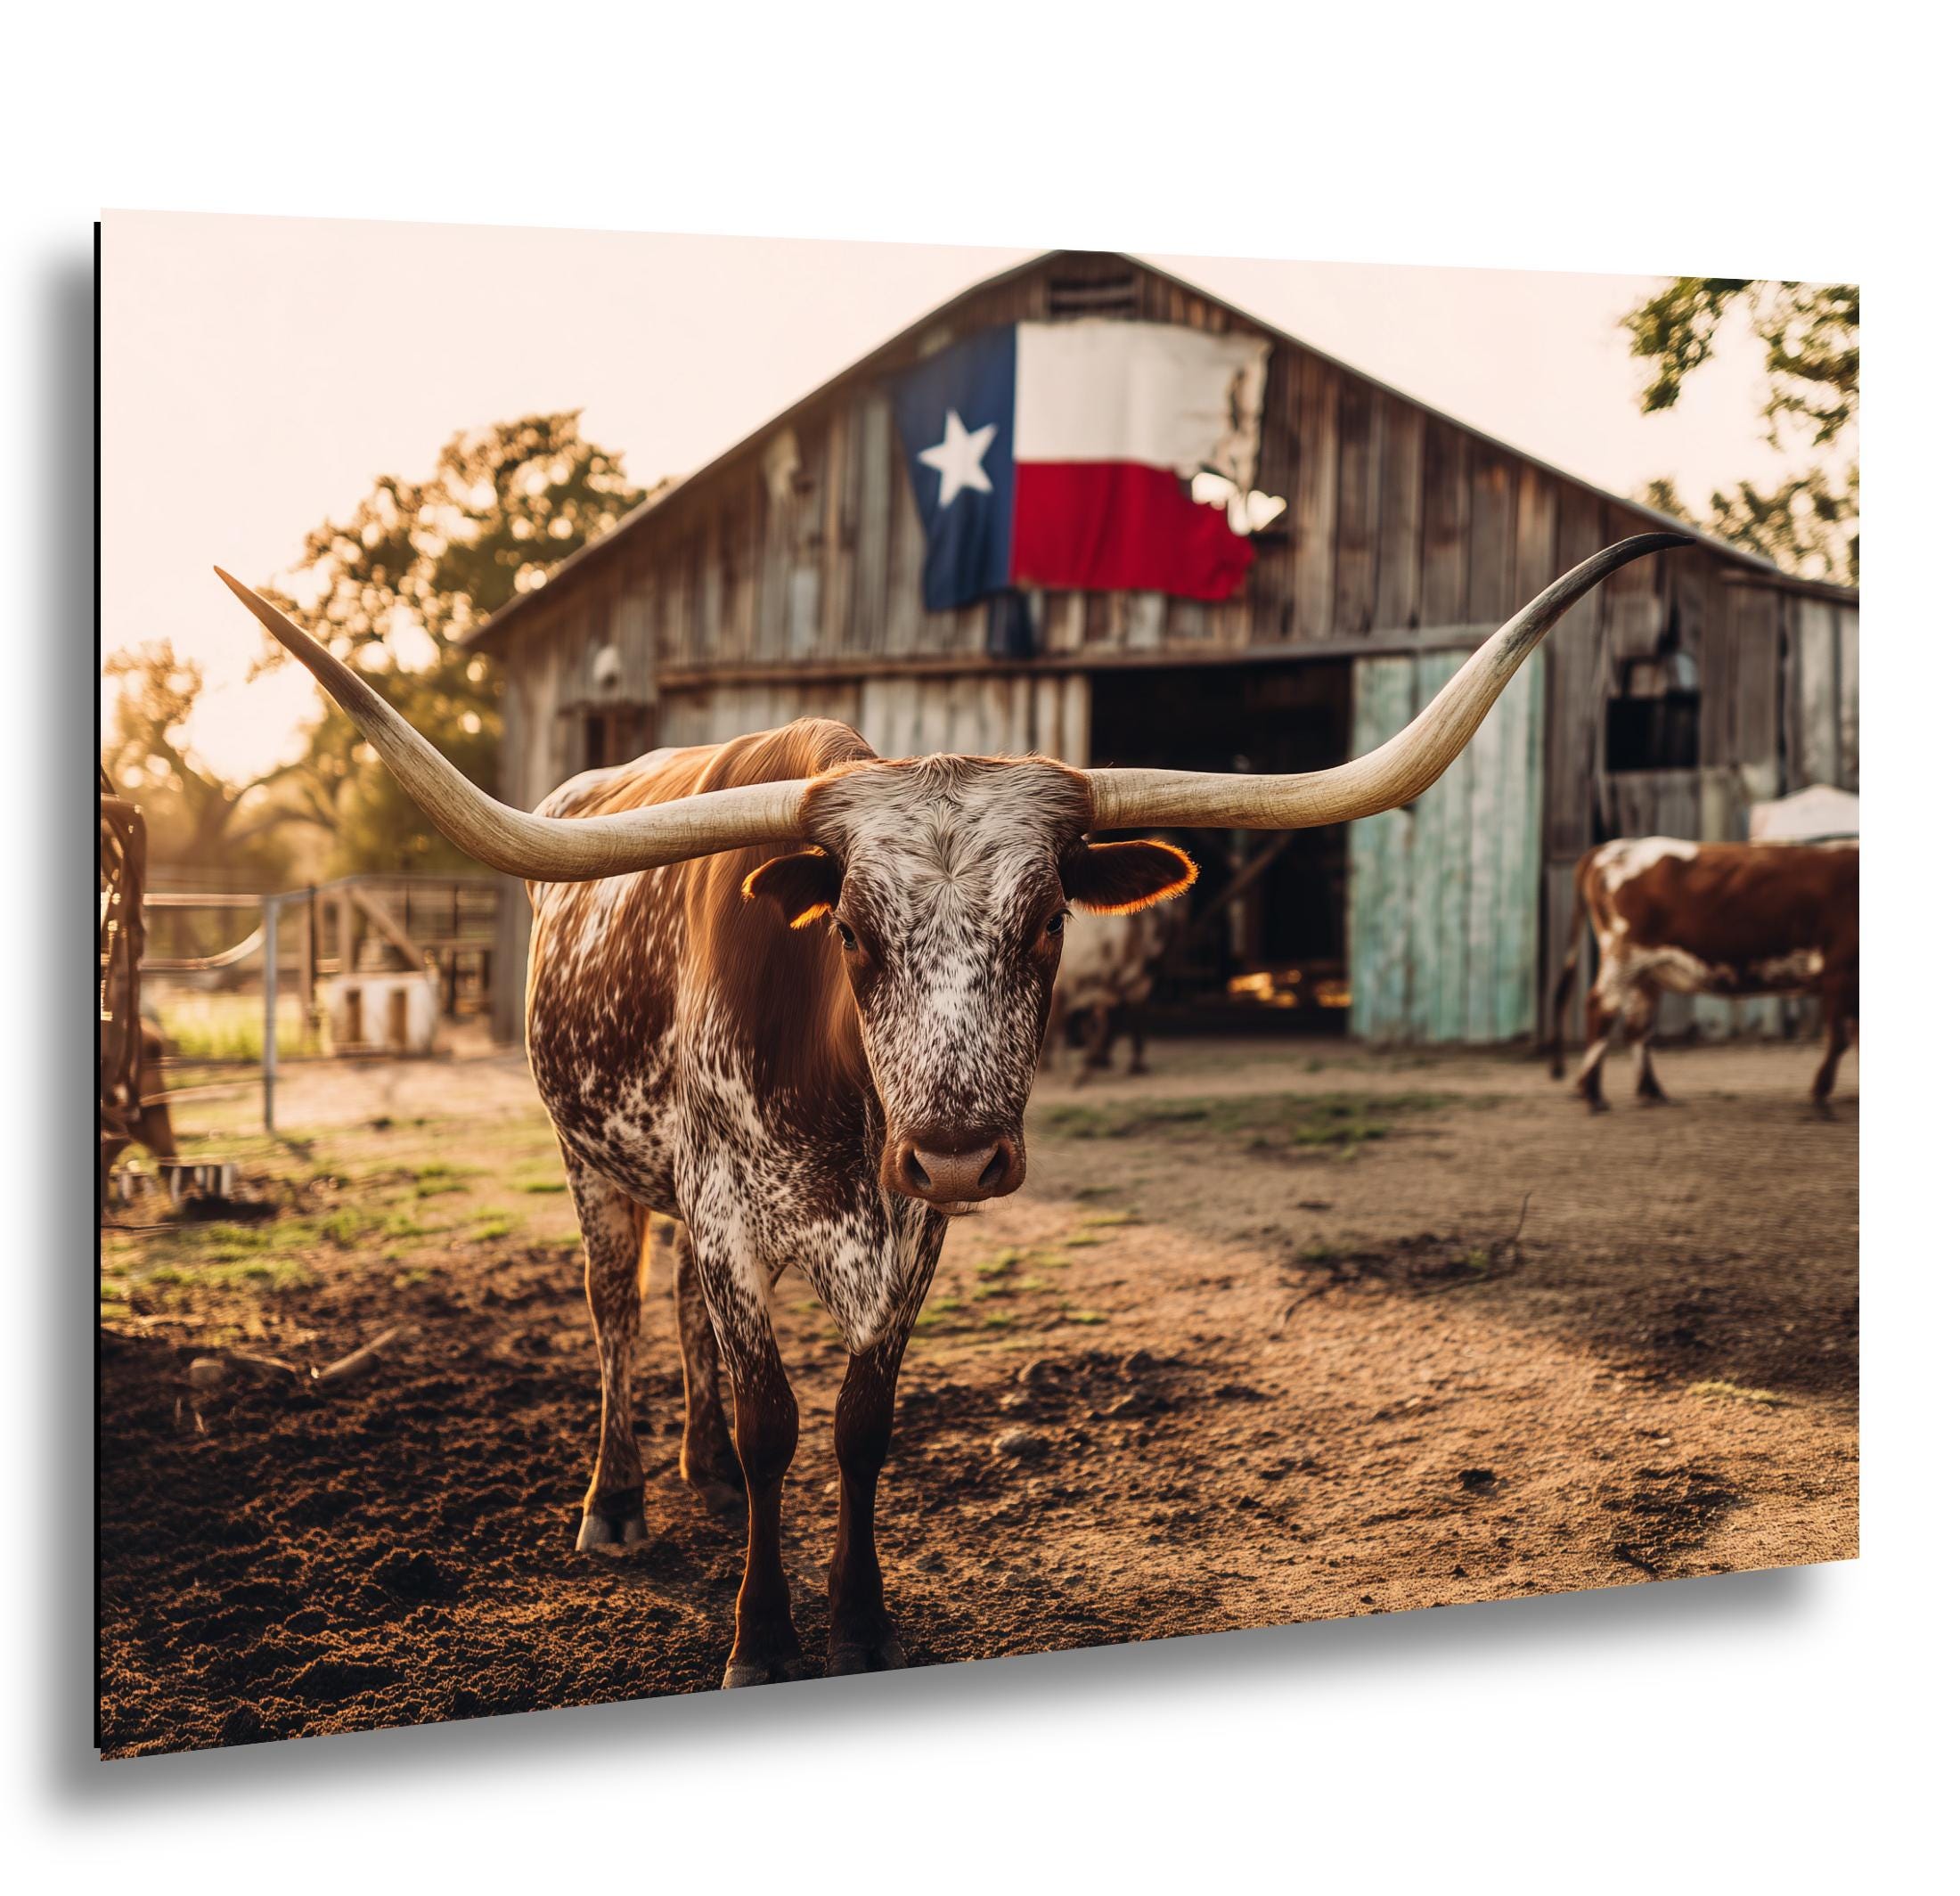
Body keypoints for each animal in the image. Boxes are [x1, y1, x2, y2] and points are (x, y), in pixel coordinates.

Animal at [1549, 835, 1859, 1114]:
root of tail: (1613, 847)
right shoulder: (1840, 971)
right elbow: (1840, 1038)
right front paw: (1820, 1093)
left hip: (1646, 972)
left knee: (1637, 1026)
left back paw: (1651, 1092)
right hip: (1624, 958)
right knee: (1601, 1010)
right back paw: (1593, 1094)